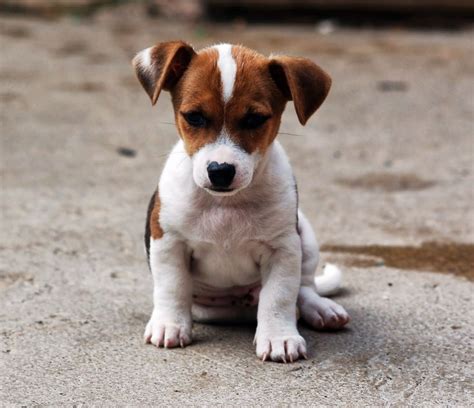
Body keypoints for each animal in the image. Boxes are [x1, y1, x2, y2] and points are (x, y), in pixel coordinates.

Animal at [132, 39, 348, 362]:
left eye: (254, 119)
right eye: (194, 117)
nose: (220, 171)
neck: (226, 204)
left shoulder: (283, 249)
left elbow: (279, 296)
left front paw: (278, 337)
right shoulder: (168, 242)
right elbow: (172, 287)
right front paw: (169, 323)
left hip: (305, 234)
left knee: (305, 287)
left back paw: (320, 309)